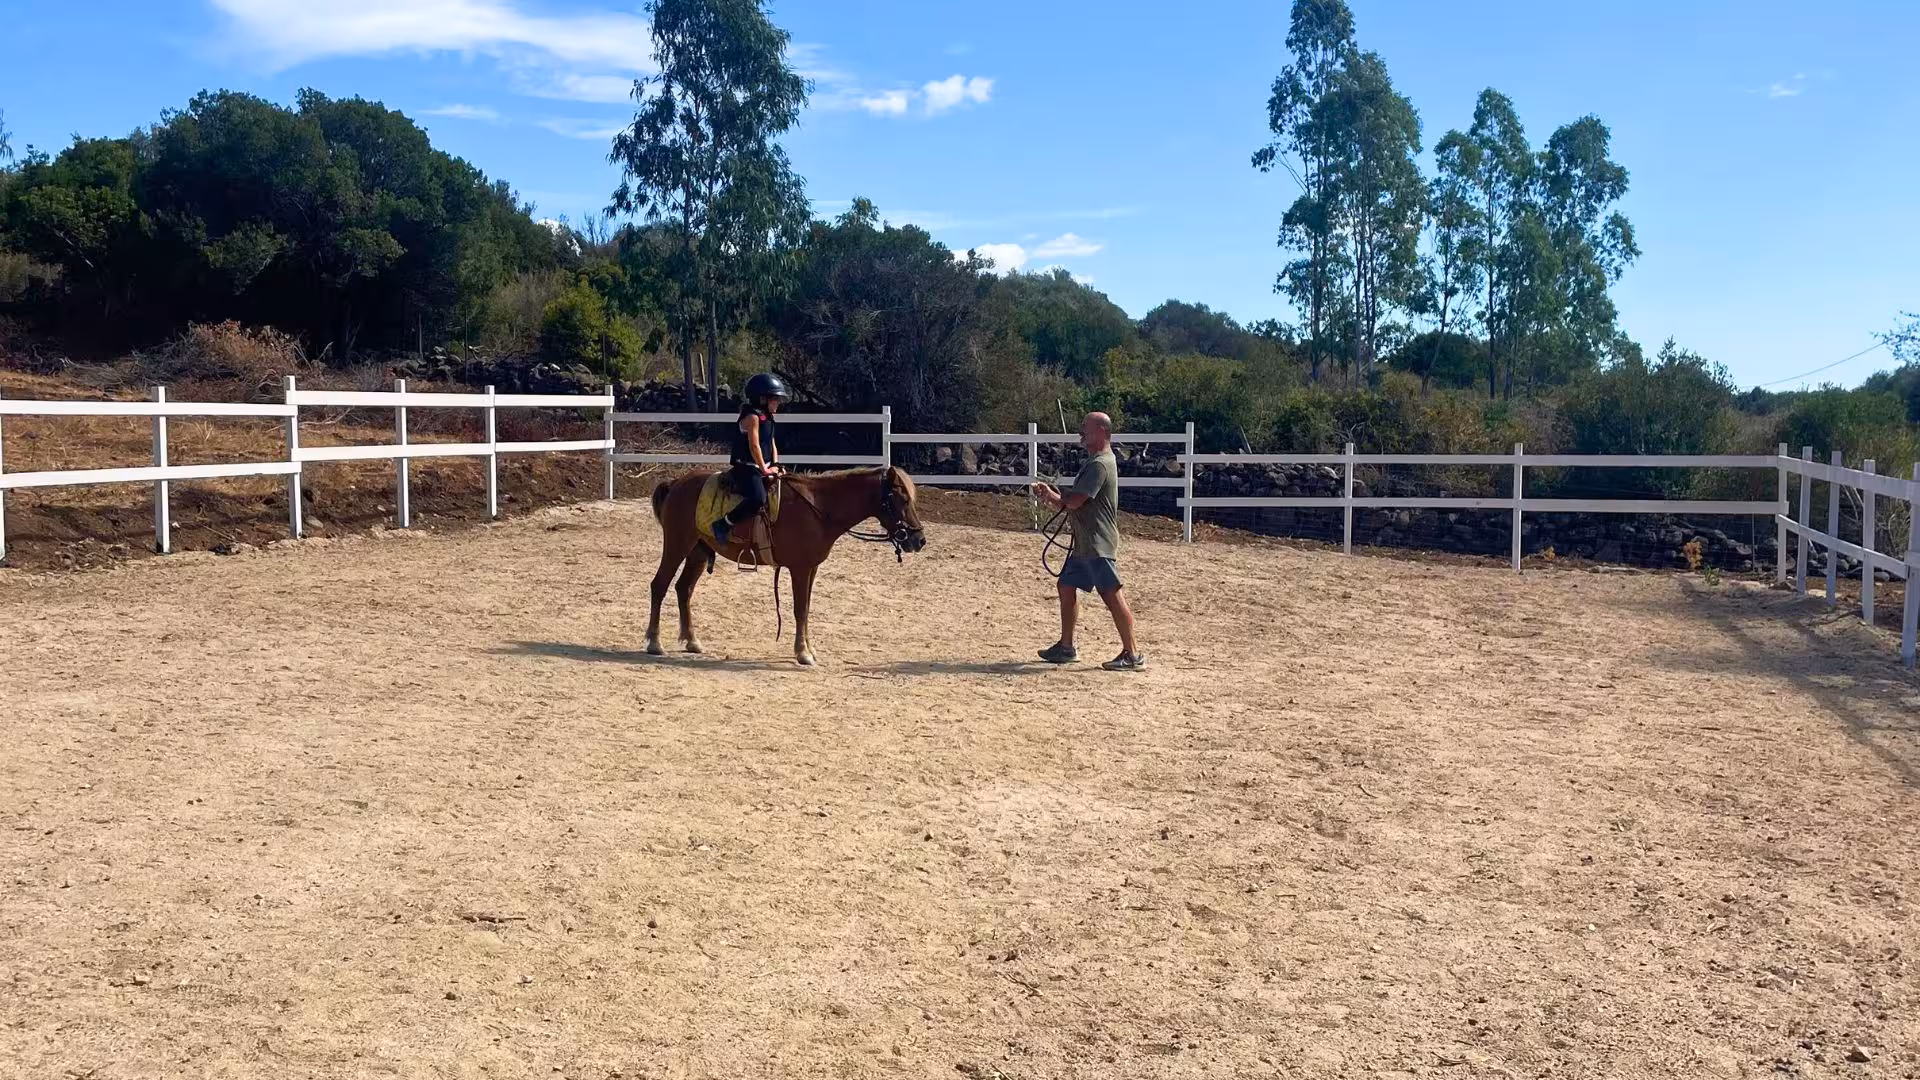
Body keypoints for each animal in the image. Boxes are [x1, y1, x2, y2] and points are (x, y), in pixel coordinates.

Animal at [646, 465, 928, 666]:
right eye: (902, 499)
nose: (919, 540)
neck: (819, 507)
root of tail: (675, 483)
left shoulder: (812, 568)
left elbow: (807, 609)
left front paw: (809, 648)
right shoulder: (800, 569)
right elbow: (800, 609)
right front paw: (803, 653)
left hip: (697, 552)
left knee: (683, 589)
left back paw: (692, 640)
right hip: (677, 545)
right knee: (659, 585)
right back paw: (654, 643)